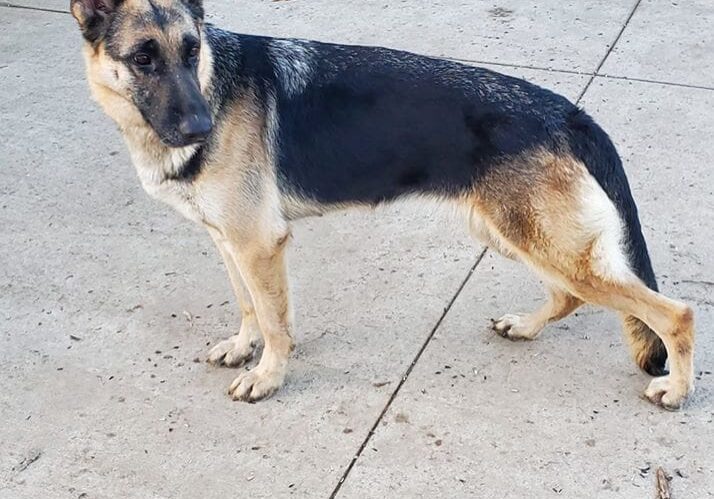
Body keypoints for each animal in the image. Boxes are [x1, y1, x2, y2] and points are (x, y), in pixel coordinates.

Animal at [72, 0, 696, 410]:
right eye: (144, 58)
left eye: (192, 50)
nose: (202, 128)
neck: (211, 82)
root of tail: (569, 112)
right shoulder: (228, 241)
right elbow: (249, 306)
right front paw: (244, 348)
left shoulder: (258, 244)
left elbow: (274, 319)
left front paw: (269, 375)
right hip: (512, 235)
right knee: (570, 295)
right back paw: (525, 326)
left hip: (542, 243)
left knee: (673, 313)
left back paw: (676, 389)